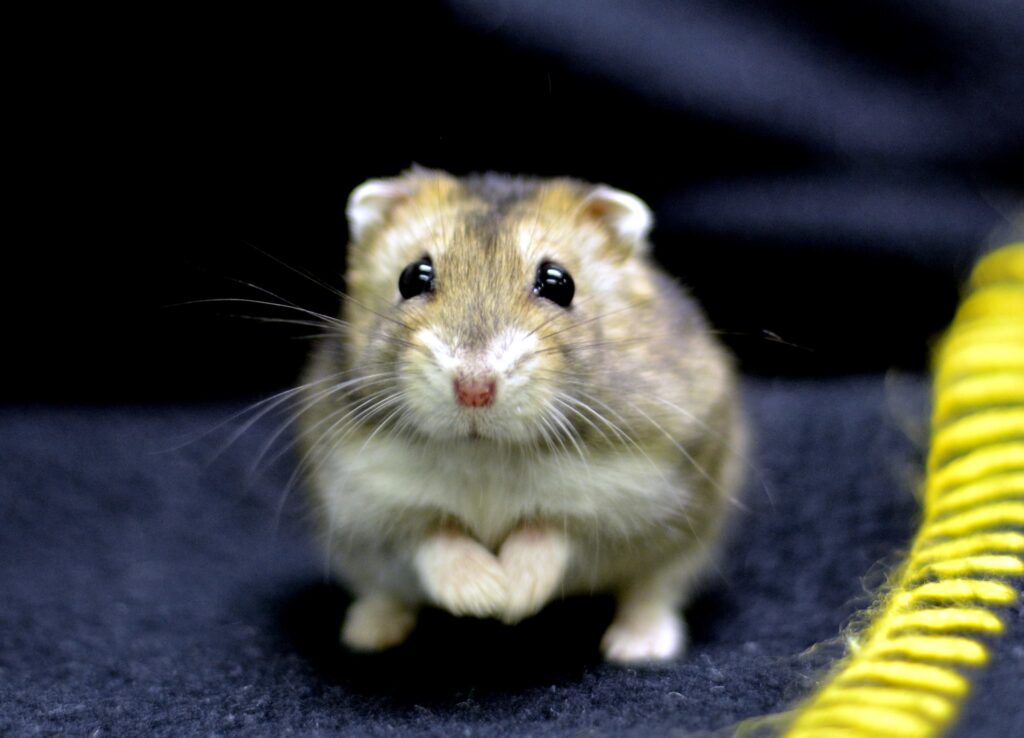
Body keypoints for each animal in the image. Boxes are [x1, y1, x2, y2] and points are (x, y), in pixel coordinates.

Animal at [296, 169, 745, 663]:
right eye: (412, 277)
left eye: (559, 283)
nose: (474, 389)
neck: (486, 453)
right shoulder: (369, 502)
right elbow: (435, 537)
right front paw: (484, 597)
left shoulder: (625, 498)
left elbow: (548, 532)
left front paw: (510, 599)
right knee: (385, 594)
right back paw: (368, 635)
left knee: (653, 591)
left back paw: (637, 649)